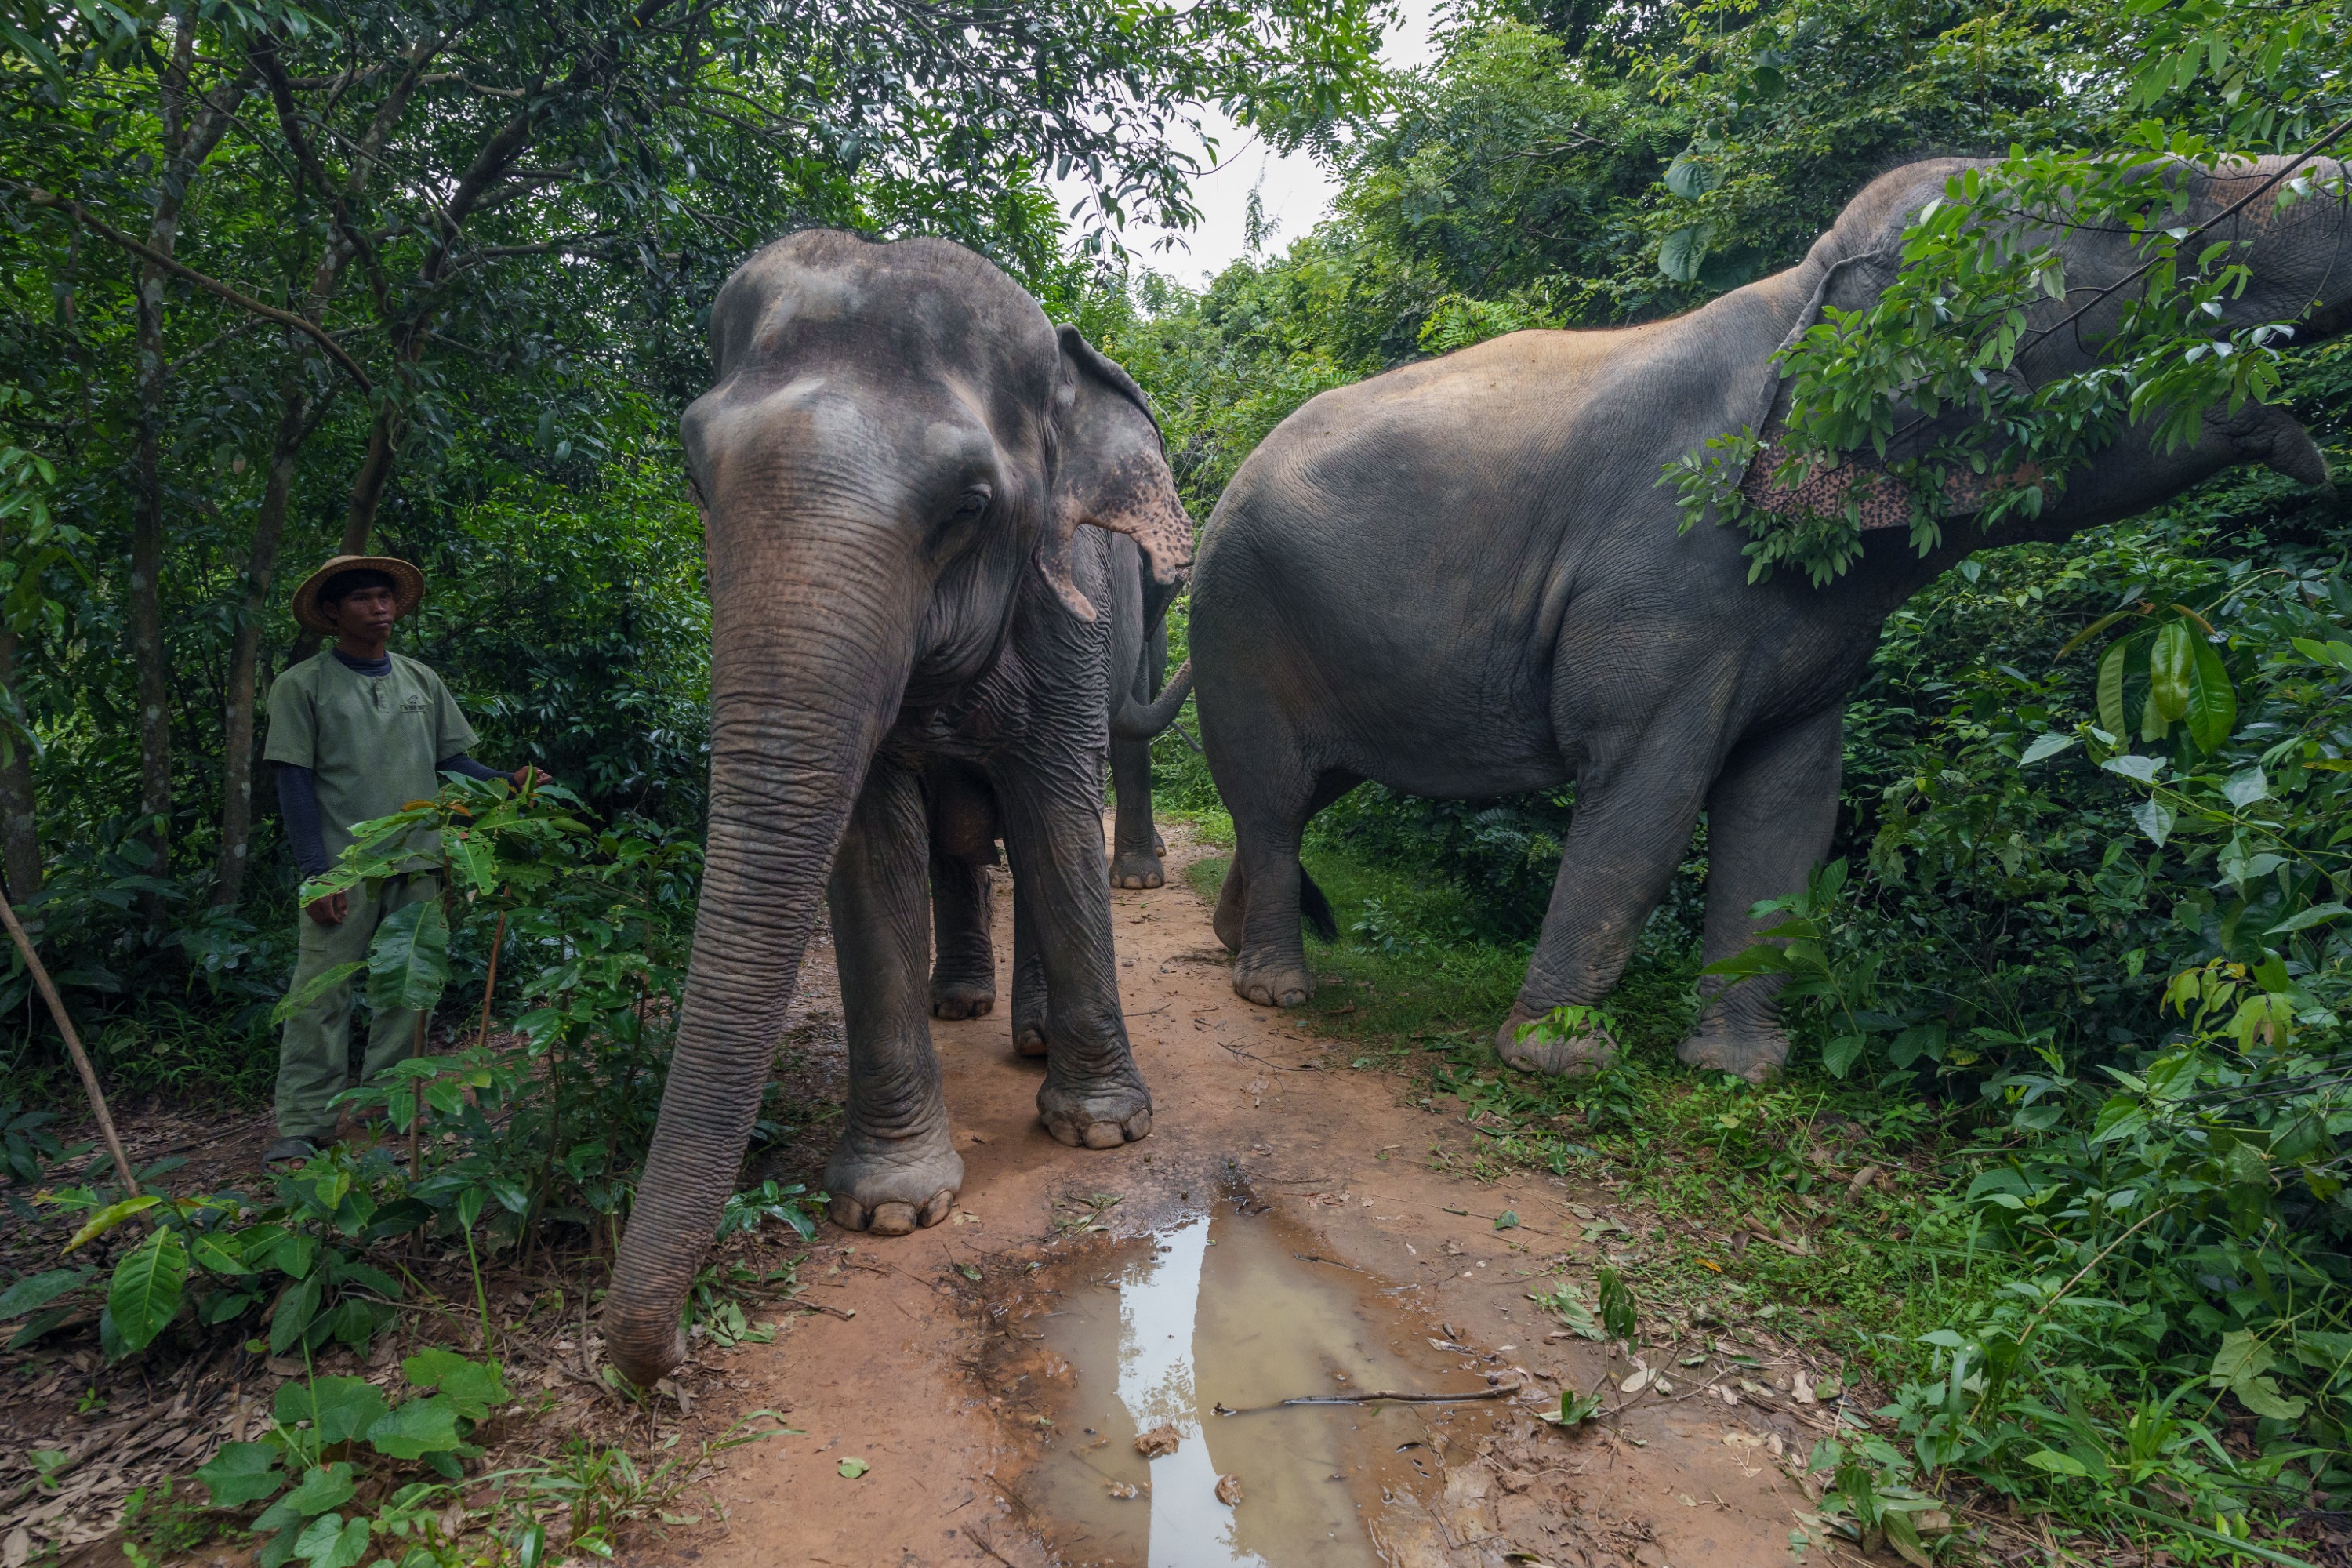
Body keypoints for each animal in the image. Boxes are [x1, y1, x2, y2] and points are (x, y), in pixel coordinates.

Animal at [607, 230, 1195, 1382]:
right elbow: (871, 845)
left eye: (969, 505)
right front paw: (890, 1208)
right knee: (959, 845)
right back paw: (960, 1004)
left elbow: (1057, 811)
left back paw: (1029, 1038)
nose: (666, 1354)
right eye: (696, 476)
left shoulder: (1066, 609)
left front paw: (1104, 1133)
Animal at [1185, 159, 2352, 1086]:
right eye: (2147, 204)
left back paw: (1235, 942)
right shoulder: (1667, 570)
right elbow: (1650, 794)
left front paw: (1739, 1073)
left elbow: (1790, 809)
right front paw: (1562, 1060)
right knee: (1275, 788)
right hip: (1238, 613)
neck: (1805, 291)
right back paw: (1277, 992)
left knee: (1308, 789)